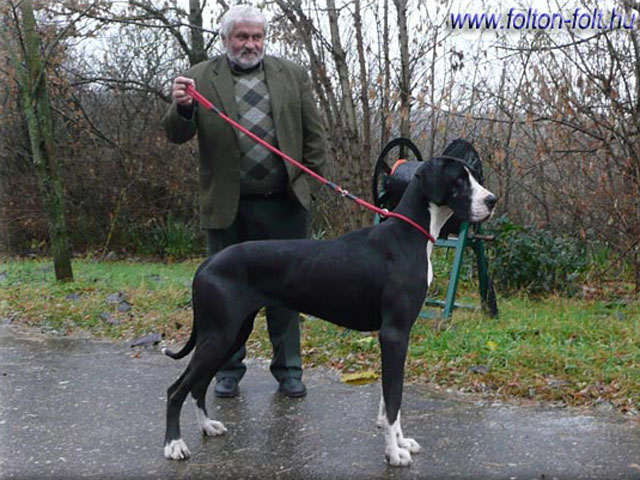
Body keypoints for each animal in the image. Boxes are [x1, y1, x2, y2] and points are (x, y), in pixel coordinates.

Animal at [162, 155, 497, 466]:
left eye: (474, 176)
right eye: (459, 180)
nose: (492, 200)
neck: (410, 234)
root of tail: (206, 264)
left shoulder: (397, 337)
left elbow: (391, 400)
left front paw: (401, 442)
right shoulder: (394, 334)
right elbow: (393, 400)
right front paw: (393, 453)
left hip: (232, 334)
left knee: (198, 385)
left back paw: (207, 426)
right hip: (219, 335)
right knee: (176, 389)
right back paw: (174, 445)